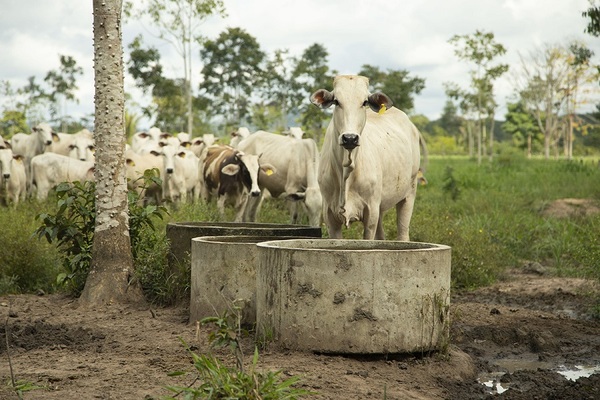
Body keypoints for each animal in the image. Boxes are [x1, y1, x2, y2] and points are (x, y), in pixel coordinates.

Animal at [312, 74, 424, 241]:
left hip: (409, 192)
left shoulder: (371, 213)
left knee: (403, 232)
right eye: (336, 101)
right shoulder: (329, 215)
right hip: (381, 206)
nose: (350, 138)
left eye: (364, 102)